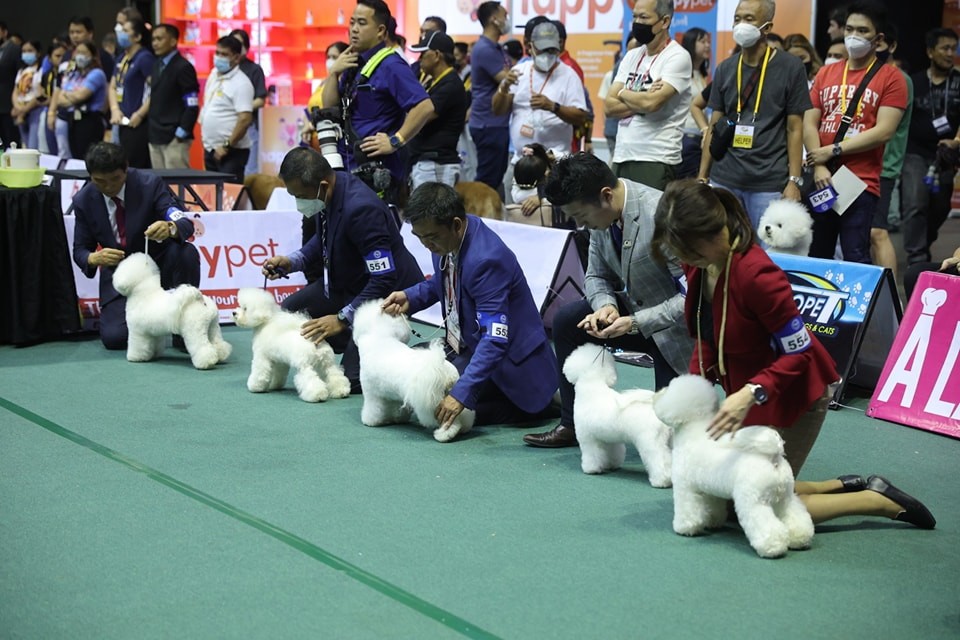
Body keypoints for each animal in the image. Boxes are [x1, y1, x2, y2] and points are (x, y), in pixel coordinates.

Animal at [350, 298, 474, 440]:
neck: (379, 337)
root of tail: (444, 372)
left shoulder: (371, 393)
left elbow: (373, 409)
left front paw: (370, 421)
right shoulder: (396, 396)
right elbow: (397, 408)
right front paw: (398, 418)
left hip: (433, 403)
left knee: (450, 422)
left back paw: (444, 435)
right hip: (451, 396)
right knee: (462, 415)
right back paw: (462, 429)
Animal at [560, 344, 672, 484]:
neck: (593, 385)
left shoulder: (588, 438)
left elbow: (592, 455)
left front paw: (591, 469)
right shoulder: (610, 439)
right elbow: (613, 453)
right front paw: (611, 465)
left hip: (650, 442)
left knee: (659, 460)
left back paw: (661, 481)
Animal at [648, 372, 812, 556]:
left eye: (669, 389)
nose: (656, 395)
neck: (694, 432)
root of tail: (773, 457)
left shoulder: (686, 487)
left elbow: (688, 510)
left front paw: (685, 528)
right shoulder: (710, 490)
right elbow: (713, 507)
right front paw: (712, 522)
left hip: (754, 500)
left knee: (766, 525)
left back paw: (772, 547)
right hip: (785, 496)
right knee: (795, 516)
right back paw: (800, 539)